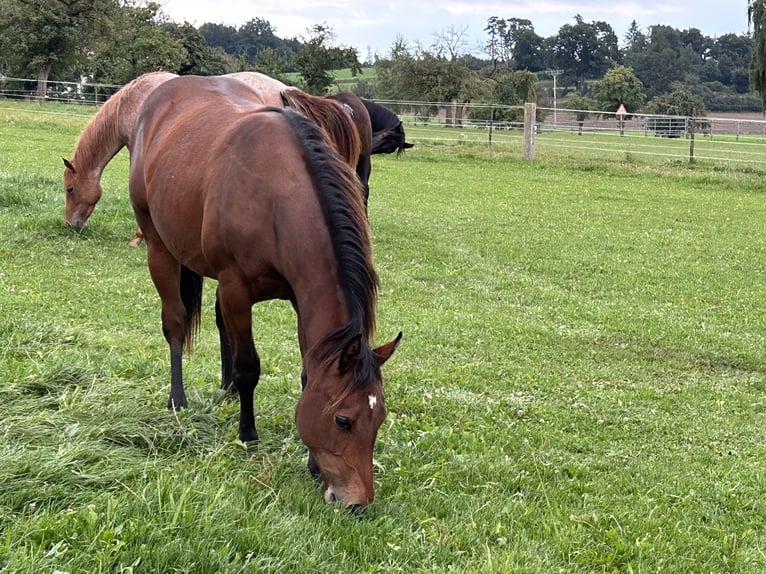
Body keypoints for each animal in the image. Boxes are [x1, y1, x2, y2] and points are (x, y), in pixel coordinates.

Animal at [129, 75, 402, 509]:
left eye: (380, 418)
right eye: (344, 420)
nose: (358, 502)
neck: (276, 199)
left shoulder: (299, 299)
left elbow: (309, 374)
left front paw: (312, 464)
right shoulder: (237, 290)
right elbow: (249, 367)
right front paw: (248, 434)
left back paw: (224, 390)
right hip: (159, 247)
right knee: (175, 324)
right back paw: (178, 400)